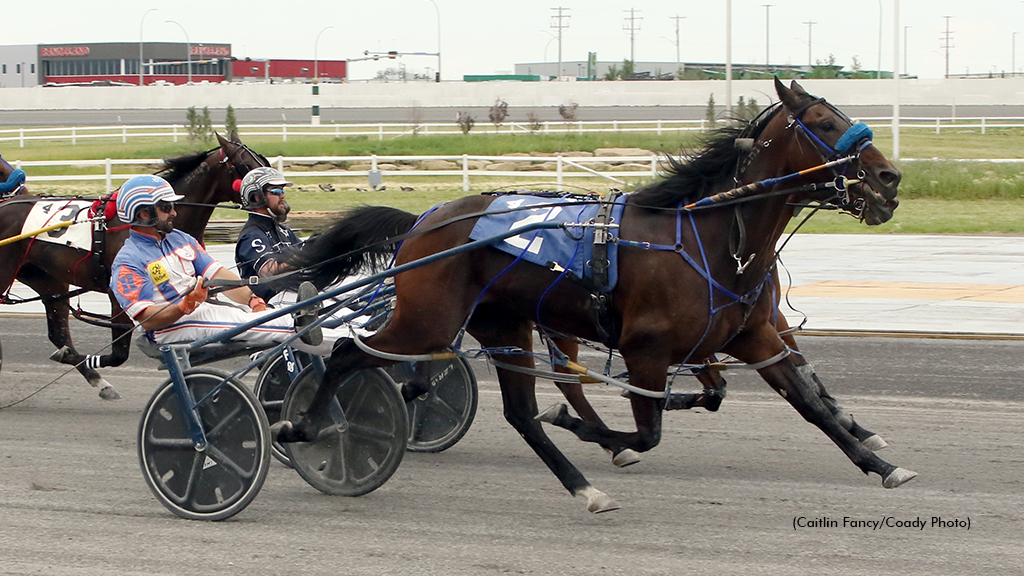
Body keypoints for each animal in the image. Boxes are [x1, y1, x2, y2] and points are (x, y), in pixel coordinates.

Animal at [1, 132, 264, 397]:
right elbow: (120, 353)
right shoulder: (118, 293)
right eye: (245, 165)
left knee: (58, 334)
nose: (274, 199)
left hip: (48, 280)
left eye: (262, 159)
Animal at [278, 79, 913, 510]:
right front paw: (593, 430)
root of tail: (425, 220)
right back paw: (304, 427)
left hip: (505, 326)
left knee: (519, 413)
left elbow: (809, 402)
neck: (711, 238)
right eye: (824, 122)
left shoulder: (754, 336)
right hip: (429, 319)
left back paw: (584, 488)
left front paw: (880, 462)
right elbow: (648, 431)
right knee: (348, 353)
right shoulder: (646, 350)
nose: (889, 179)